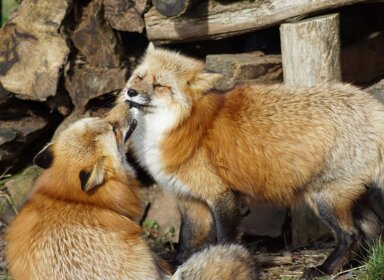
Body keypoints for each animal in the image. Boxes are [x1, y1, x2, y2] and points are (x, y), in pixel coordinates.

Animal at [121, 43, 384, 278]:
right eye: (139, 77)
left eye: (160, 86)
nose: (130, 92)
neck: (177, 125)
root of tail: (372, 106)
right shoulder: (189, 200)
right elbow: (186, 242)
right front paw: (176, 266)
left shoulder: (221, 195)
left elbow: (224, 237)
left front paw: (228, 259)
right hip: (347, 195)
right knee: (374, 227)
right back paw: (363, 264)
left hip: (324, 198)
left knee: (350, 235)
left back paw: (324, 269)